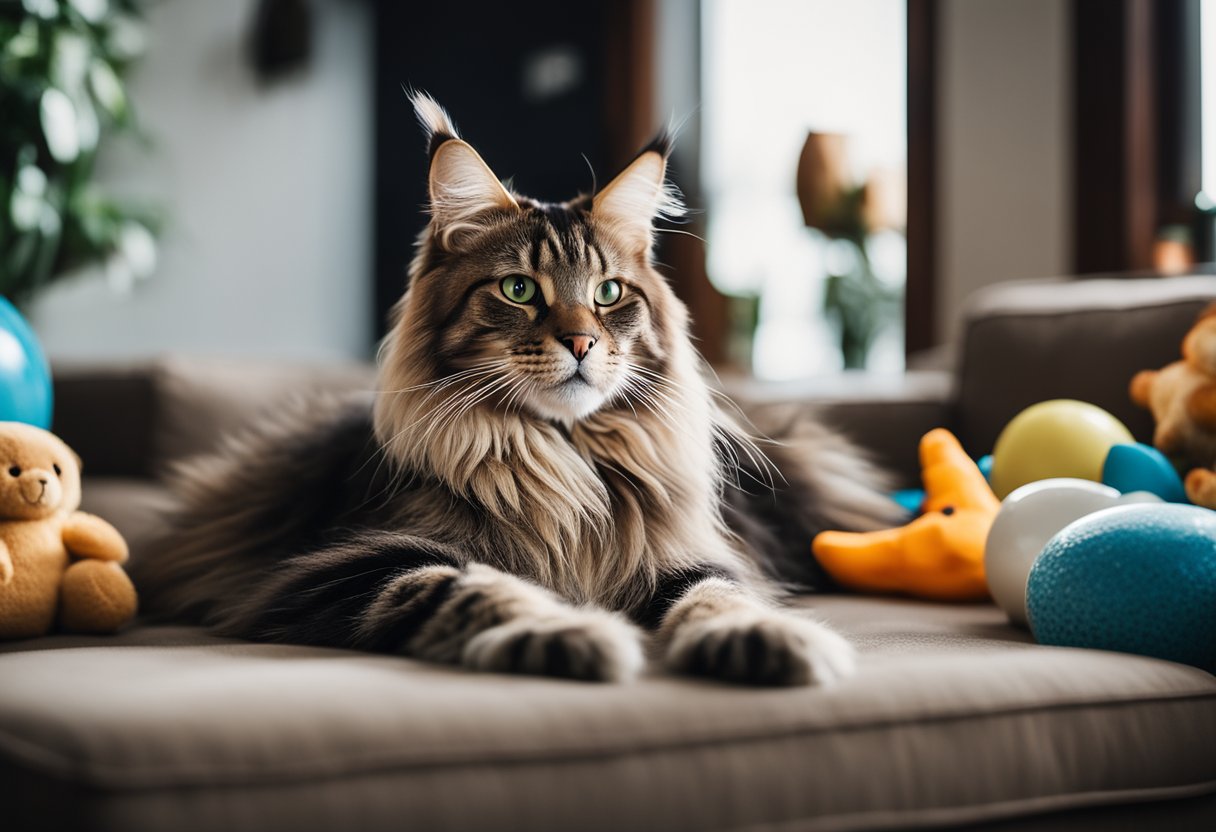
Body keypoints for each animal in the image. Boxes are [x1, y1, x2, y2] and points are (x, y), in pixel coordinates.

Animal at [138, 94, 909, 686]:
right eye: (518, 290)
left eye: (608, 294)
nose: (581, 343)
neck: (563, 465)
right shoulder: (340, 568)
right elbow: (472, 587)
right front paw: (572, 634)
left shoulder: (691, 556)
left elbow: (723, 597)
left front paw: (771, 642)